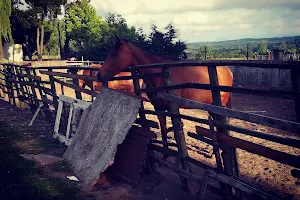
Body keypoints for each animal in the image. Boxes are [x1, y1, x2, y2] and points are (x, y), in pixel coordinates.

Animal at [97, 36, 233, 147]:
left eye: (115, 53)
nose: (99, 75)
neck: (159, 74)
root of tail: (226, 70)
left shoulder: (173, 110)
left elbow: (177, 136)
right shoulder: (159, 108)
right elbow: (163, 131)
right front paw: (165, 155)